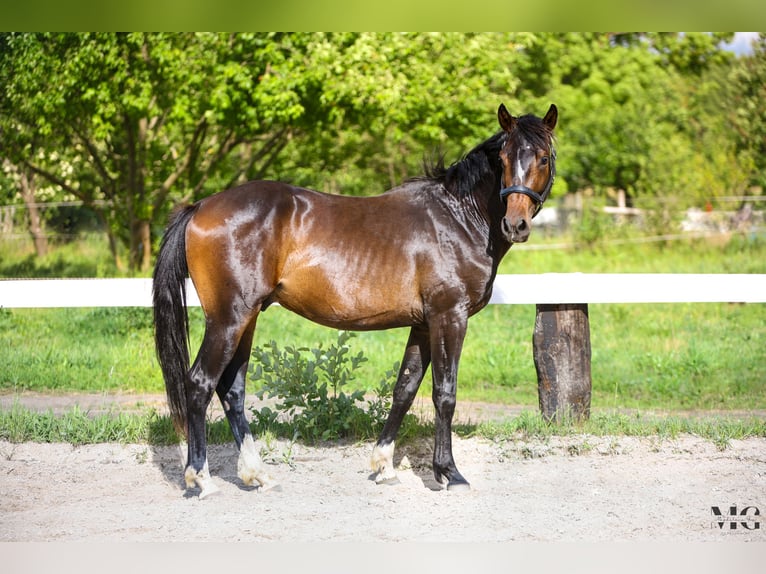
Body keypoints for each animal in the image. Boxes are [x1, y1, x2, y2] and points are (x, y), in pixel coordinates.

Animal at [152, 103, 558, 498]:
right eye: (503, 159)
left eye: (543, 158)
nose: (515, 225)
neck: (459, 217)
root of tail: (200, 206)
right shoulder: (449, 316)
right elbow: (445, 393)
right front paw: (449, 473)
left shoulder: (423, 324)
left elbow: (404, 389)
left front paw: (384, 466)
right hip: (228, 319)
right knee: (200, 383)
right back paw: (200, 480)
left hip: (246, 318)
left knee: (231, 389)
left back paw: (256, 475)